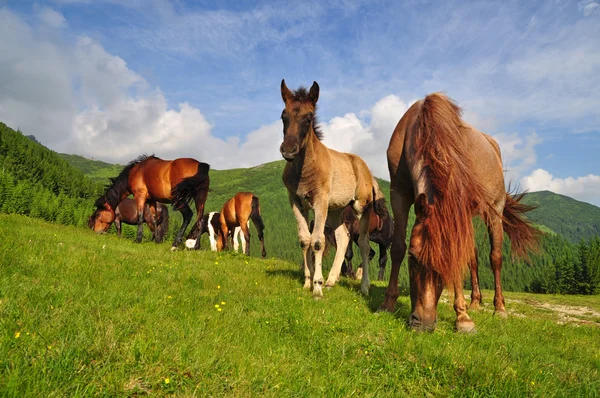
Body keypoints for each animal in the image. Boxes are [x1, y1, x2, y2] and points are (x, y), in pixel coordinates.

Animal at [280, 80, 386, 298]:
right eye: (283, 115)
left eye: (309, 118)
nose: (288, 150)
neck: (305, 168)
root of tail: (368, 171)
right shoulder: (295, 201)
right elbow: (305, 240)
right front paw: (308, 282)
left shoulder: (320, 200)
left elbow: (317, 241)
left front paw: (317, 288)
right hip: (336, 210)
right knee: (343, 237)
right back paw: (331, 280)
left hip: (360, 208)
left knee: (364, 245)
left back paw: (364, 286)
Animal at [382, 91, 540, 332]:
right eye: (413, 258)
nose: (422, 324)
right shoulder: (398, 195)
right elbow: (398, 247)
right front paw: (388, 303)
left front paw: (462, 318)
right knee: (473, 258)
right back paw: (475, 302)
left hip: (494, 211)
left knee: (495, 258)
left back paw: (499, 308)